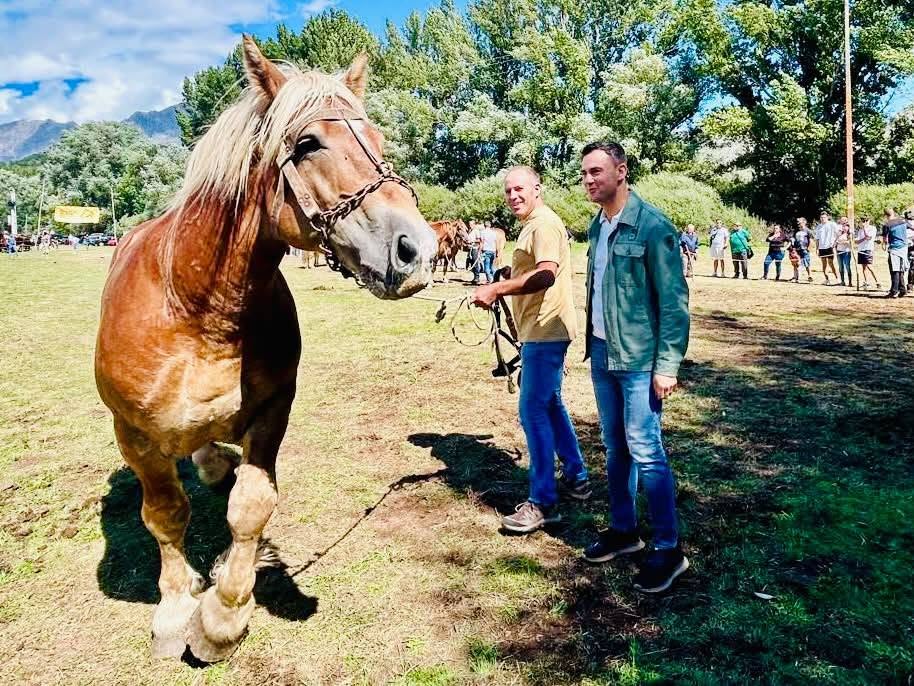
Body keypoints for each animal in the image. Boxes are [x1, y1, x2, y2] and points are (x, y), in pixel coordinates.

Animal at [94, 36, 437, 663]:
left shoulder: (273, 410)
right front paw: (176, 608)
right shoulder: (134, 434)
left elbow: (251, 505)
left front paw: (221, 619)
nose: (416, 249)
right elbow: (165, 513)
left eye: (377, 140)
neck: (197, 308)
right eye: (307, 144)